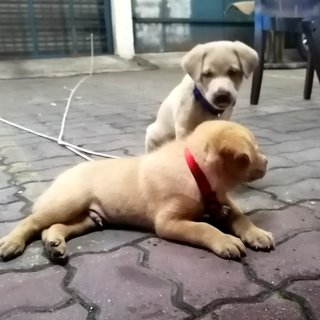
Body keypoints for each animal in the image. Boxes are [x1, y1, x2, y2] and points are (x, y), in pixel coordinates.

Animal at [0, 120, 276, 262]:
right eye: (253, 150)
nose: (267, 161)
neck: (197, 173)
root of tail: (61, 176)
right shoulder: (168, 222)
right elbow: (204, 228)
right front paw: (226, 240)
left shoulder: (223, 201)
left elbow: (240, 217)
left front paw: (257, 234)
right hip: (68, 201)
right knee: (33, 221)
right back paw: (11, 243)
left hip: (87, 217)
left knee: (53, 227)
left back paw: (54, 244)